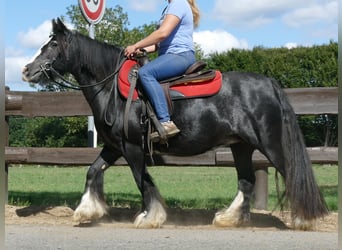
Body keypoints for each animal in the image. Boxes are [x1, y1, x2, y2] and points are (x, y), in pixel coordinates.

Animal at [22, 18, 328, 230]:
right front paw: (87, 210)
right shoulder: (114, 146)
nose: (26, 70)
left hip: (269, 144)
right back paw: (229, 218)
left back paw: (305, 219)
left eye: (52, 46)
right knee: (246, 181)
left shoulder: (132, 147)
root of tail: (269, 83)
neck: (111, 88)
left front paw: (150, 217)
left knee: (292, 173)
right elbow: (92, 171)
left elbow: (142, 180)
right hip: (241, 146)